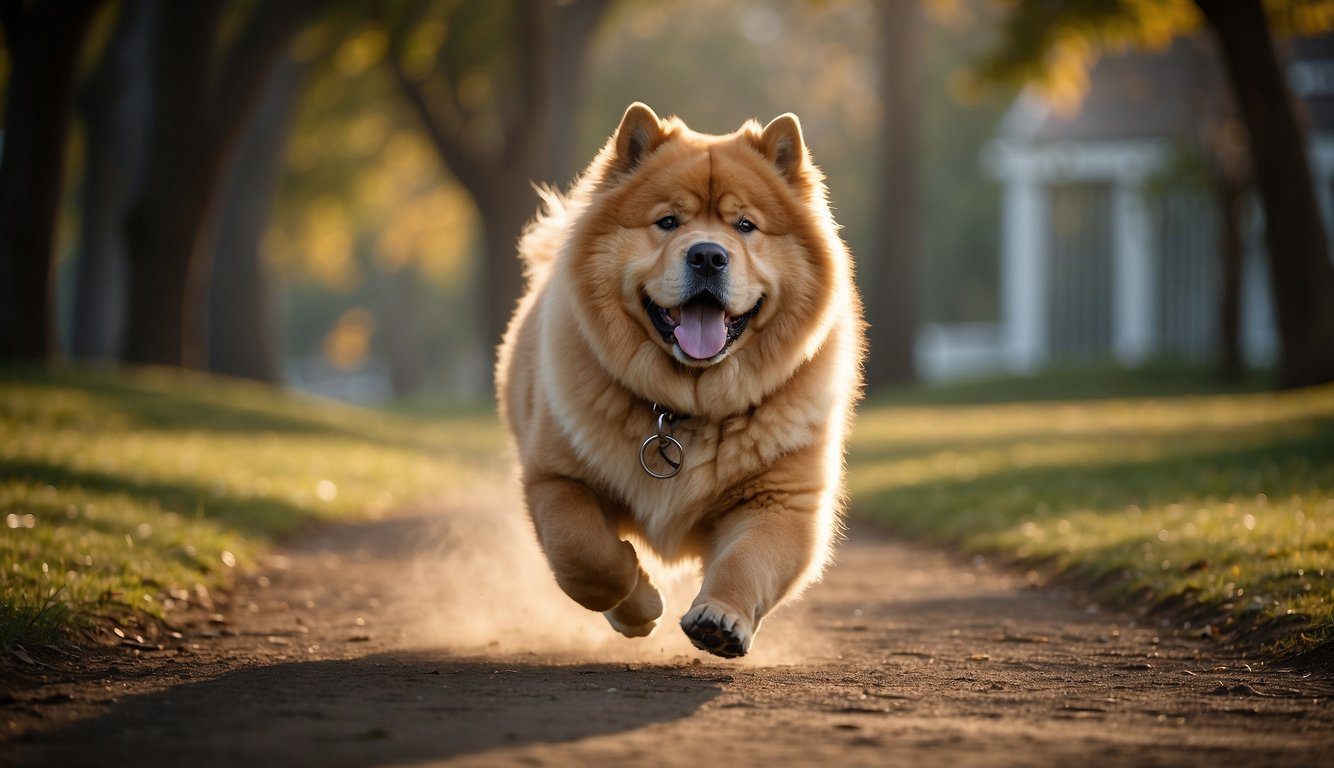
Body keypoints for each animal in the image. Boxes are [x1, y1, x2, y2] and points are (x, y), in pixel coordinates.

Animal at [496, 100, 859, 653]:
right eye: (667, 221)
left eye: (745, 225)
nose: (708, 254)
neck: (685, 407)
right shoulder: (555, 478)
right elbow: (585, 557)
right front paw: (640, 604)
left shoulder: (782, 501)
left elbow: (747, 562)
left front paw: (720, 620)